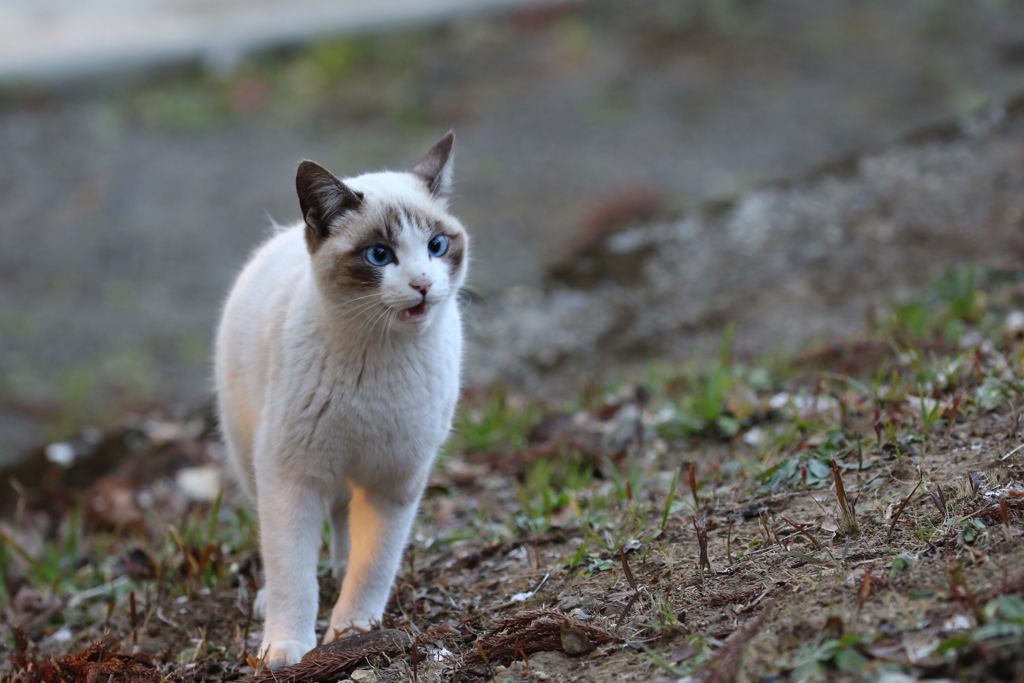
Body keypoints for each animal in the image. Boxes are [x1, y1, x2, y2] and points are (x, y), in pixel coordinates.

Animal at [218, 132, 468, 667]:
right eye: (379, 255)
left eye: (437, 247)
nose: (422, 284)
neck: (379, 359)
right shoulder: (292, 478)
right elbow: (292, 572)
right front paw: (286, 647)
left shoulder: (394, 484)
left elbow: (373, 567)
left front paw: (353, 632)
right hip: (252, 458)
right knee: (285, 540)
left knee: (343, 524)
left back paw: (338, 569)